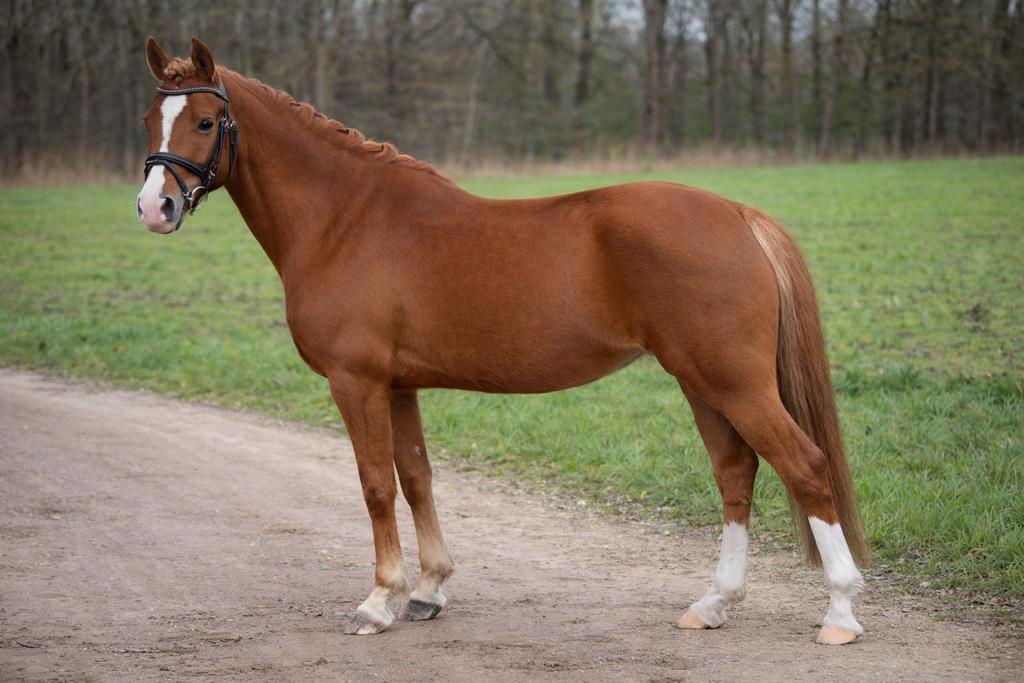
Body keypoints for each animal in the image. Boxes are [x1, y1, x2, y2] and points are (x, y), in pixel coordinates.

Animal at [137, 37, 870, 645]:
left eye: (205, 122)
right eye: (150, 119)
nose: (154, 208)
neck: (345, 219)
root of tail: (740, 215)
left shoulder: (357, 381)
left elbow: (375, 484)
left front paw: (378, 601)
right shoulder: (399, 385)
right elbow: (417, 477)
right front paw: (428, 590)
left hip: (734, 382)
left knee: (804, 465)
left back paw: (839, 612)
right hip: (702, 383)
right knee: (736, 473)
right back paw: (714, 603)